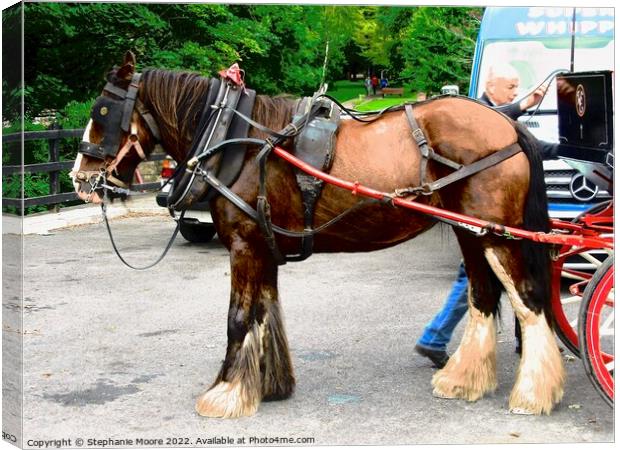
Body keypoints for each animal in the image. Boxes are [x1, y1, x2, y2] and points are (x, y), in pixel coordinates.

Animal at [74, 53, 568, 418]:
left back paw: (533, 393)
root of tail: (506, 123)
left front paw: (226, 393)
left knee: (528, 300)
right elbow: (265, 313)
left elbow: (238, 317)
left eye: (103, 111)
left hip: (499, 237)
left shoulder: (244, 244)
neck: (235, 140)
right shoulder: (263, 246)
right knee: (483, 295)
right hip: (472, 233)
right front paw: (268, 385)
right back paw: (463, 380)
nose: (81, 178)